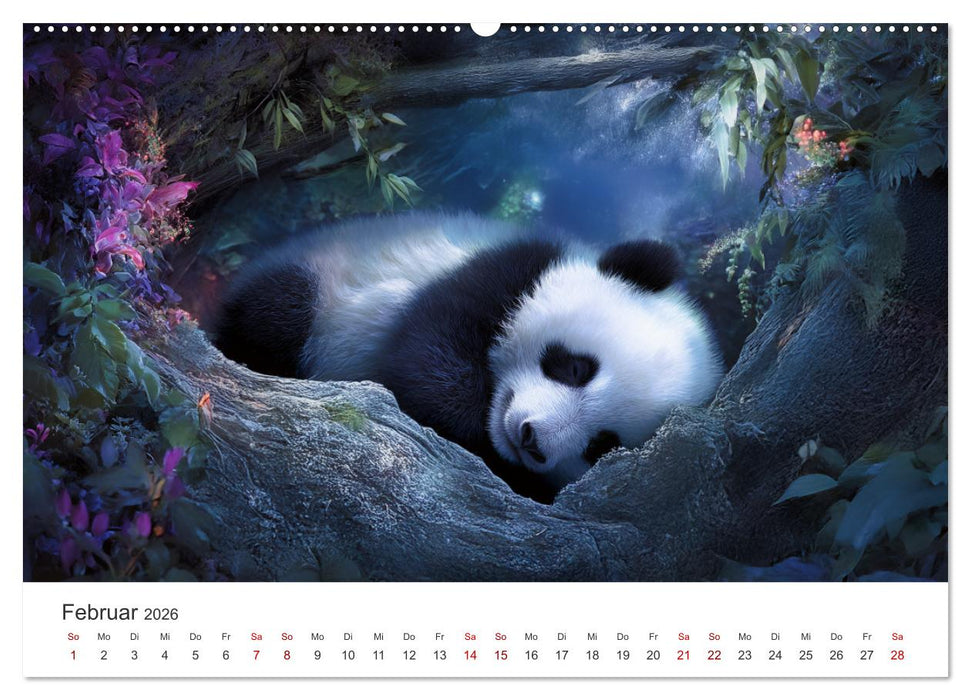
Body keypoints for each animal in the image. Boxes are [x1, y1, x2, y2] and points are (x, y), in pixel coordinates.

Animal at [213, 213, 722, 502]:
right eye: (577, 368)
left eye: (602, 446)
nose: (531, 440)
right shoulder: (503, 270)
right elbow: (428, 352)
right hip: (324, 281)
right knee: (278, 313)